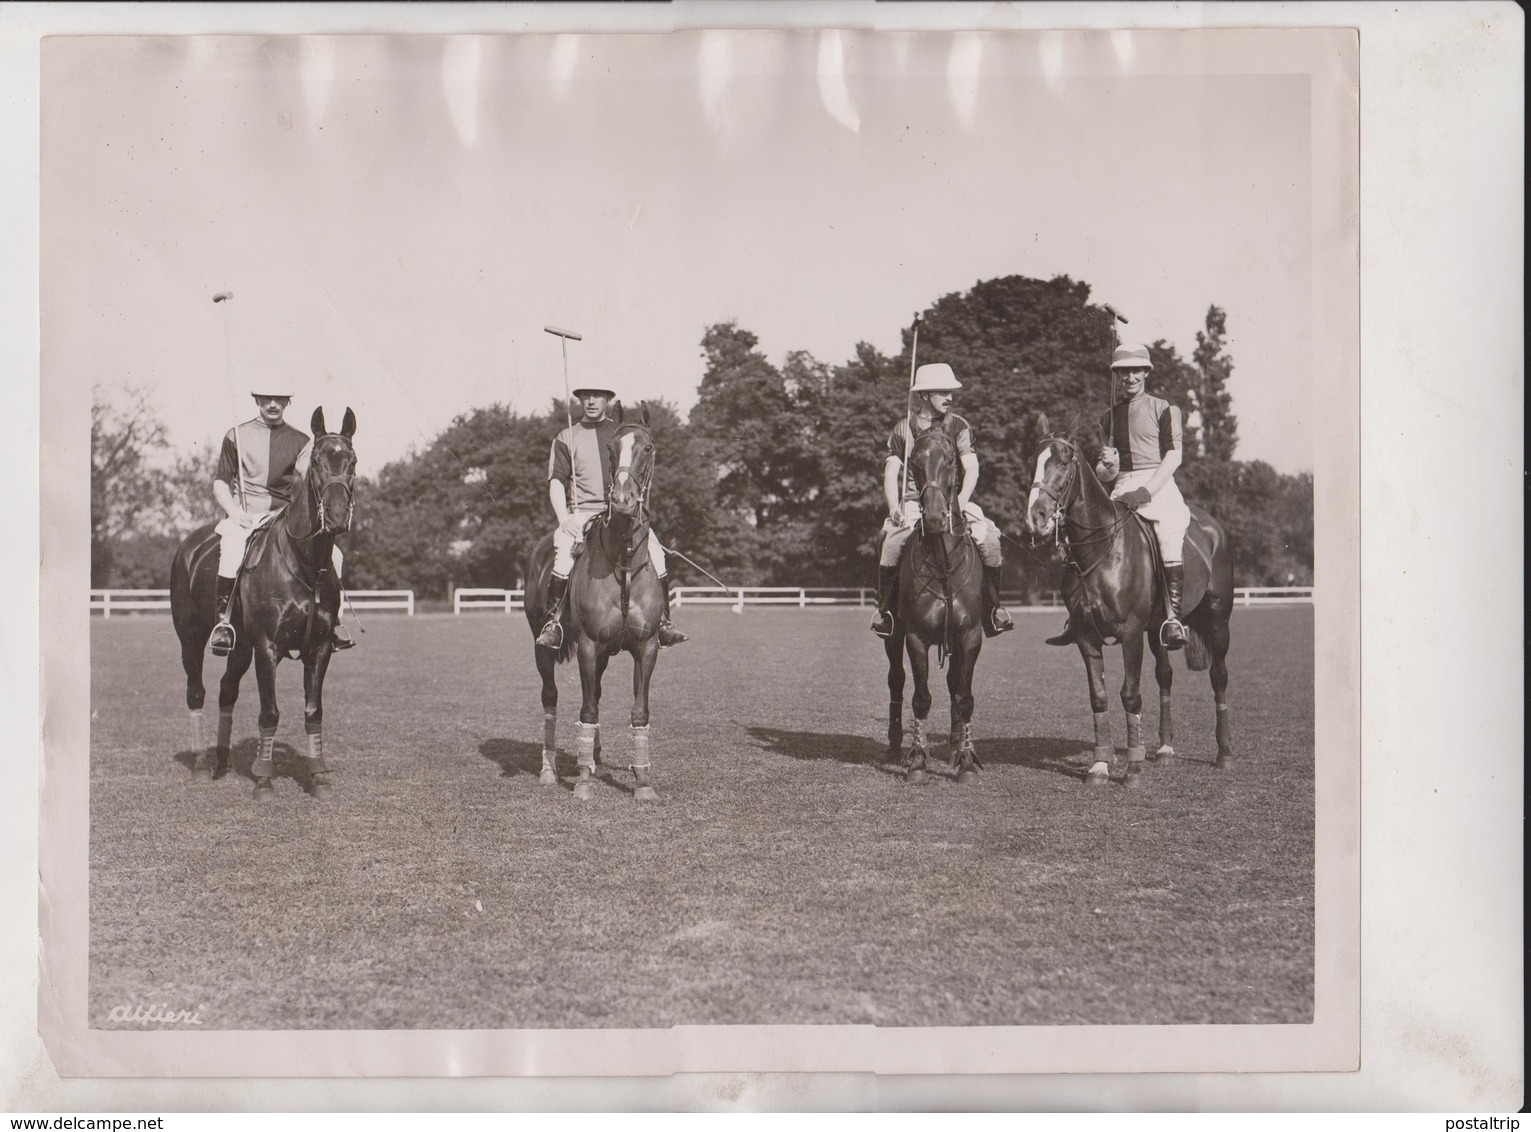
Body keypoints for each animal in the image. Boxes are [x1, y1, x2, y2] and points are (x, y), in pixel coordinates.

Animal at [172, 407, 356, 796]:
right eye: (316, 462)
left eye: (352, 461)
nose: (335, 518)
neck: (306, 564)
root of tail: (188, 545)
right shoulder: (267, 647)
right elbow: (269, 712)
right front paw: (264, 779)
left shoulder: (319, 648)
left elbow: (314, 712)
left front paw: (318, 775)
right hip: (190, 636)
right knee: (196, 692)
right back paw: (201, 763)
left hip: (241, 646)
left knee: (226, 690)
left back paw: (222, 762)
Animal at [526, 404, 664, 802]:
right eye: (611, 450)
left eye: (648, 448)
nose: (622, 502)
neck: (623, 559)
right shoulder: (587, 645)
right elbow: (586, 709)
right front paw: (584, 782)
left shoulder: (647, 646)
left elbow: (639, 711)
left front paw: (642, 780)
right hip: (542, 645)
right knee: (551, 696)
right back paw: (550, 768)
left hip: (605, 654)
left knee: (598, 693)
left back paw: (595, 756)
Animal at [881, 428, 985, 784]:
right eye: (913, 462)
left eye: (951, 459)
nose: (937, 519)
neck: (942, 564)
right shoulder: (916, 636)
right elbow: (921, 697)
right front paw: (917, 760)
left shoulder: (970, 635)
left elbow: (965, 697)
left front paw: (967, 760)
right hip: (893, 635)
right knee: (896, 680)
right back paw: (895, 743)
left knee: (954, 683)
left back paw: (955, 744)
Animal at [1028, 425, 1230, 790]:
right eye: (1032, 462)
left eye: (1064, 463)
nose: (1035, 518)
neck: (1100, 552)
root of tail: (1213, 526)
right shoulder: (1086, 637)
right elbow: (1099, 695)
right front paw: (1099, 765)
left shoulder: (1131, 633)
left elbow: (1130, 694)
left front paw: (1133, 769)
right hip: (1158, 630)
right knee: (1165, 676)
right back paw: (1164, 749)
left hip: (1219, 620)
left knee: (1218, 676)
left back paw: (1224, 753)